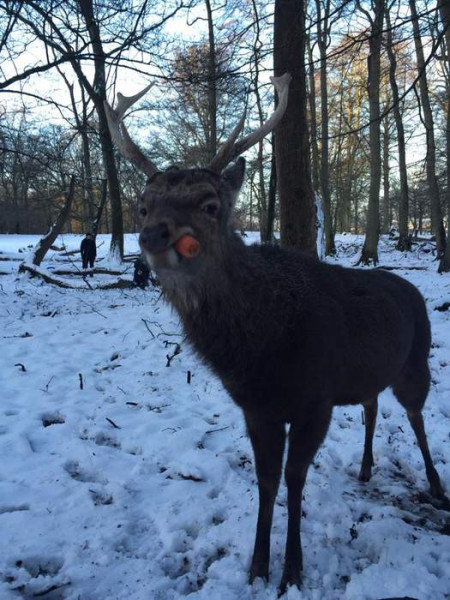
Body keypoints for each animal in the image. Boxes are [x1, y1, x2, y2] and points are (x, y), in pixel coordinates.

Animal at [104, 74, 446, 592]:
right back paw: (366, 469)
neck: (262, 351)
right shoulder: (255, 408)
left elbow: (294, 478)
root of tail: (414, 291)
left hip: (416, 362)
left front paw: (293, 570)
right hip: (370, 375)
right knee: (371, 406)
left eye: (210, 204)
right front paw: (257, 566)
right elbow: (266, 481)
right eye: (142, 207)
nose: (153, 236)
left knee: (417, 418)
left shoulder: (316, 399)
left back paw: (435, 484)